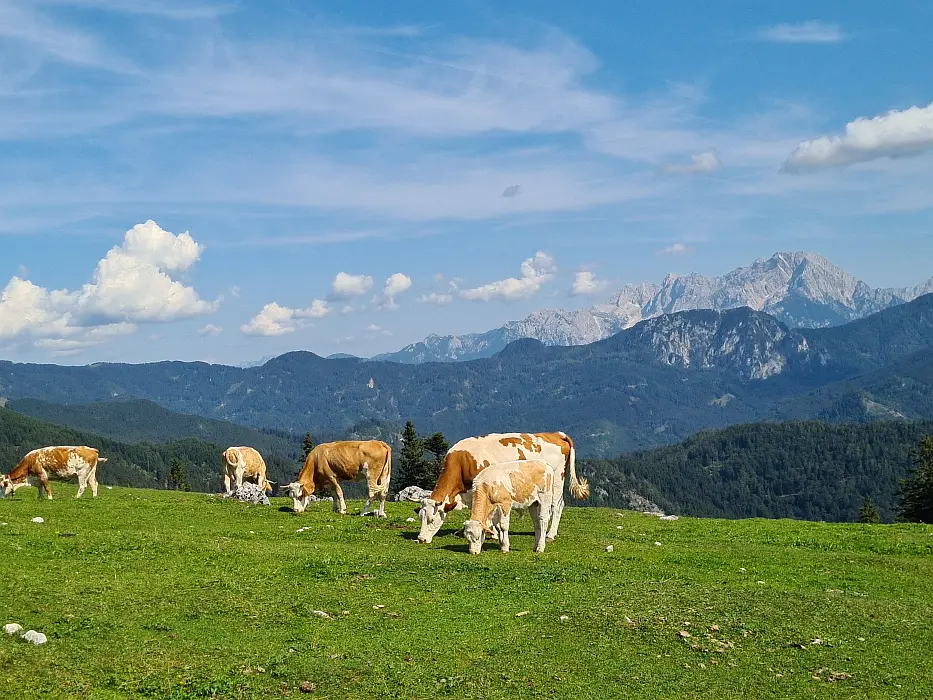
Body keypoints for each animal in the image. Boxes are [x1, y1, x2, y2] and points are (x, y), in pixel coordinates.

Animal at [416, 430, 588, 544]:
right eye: (421, 518)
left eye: (432, 519)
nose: (421, 539)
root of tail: (557, 434)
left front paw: (491, 533)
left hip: (557, 479)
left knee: (556, 505)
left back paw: (550, 534)